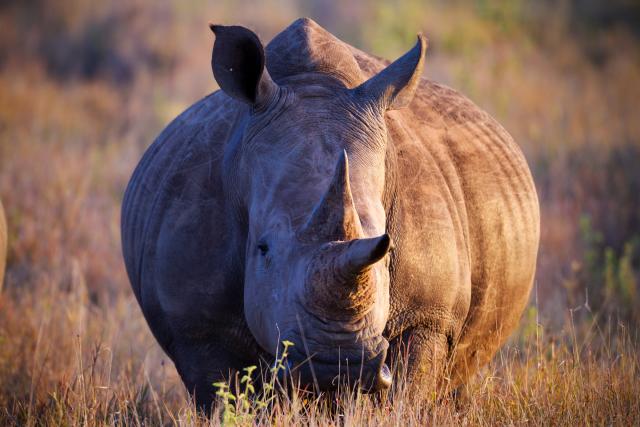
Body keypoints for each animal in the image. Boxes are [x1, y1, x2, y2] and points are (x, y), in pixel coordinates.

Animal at [121, 18, 539, 410]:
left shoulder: (429, 315)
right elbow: (226, 398)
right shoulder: (196, 325)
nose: (338, 366)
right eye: (262, 250)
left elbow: (408, 394)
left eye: (387, 250)